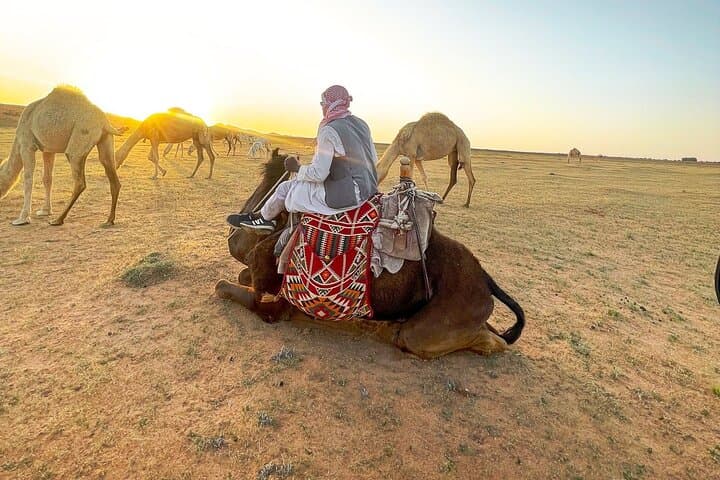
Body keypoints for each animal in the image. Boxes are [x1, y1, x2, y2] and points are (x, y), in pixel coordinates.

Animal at [0, 86, 122, 226]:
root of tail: (104, 122)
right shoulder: (48, 150)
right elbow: (47, 178)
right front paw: (45, 211)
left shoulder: (26, 144)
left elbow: (28, 179)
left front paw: (22, 219)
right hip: (106, 139)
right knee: (110, 170)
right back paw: (109, 220)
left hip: (80, 136)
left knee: (79, 179)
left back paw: (58, 219)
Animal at [214, 149, 525, 359]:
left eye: (270, 188)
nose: (234, 233)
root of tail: (485, 279)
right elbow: (241, 277)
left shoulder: (279, 304)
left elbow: (226, 287)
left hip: (435, 326)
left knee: (477, 341)